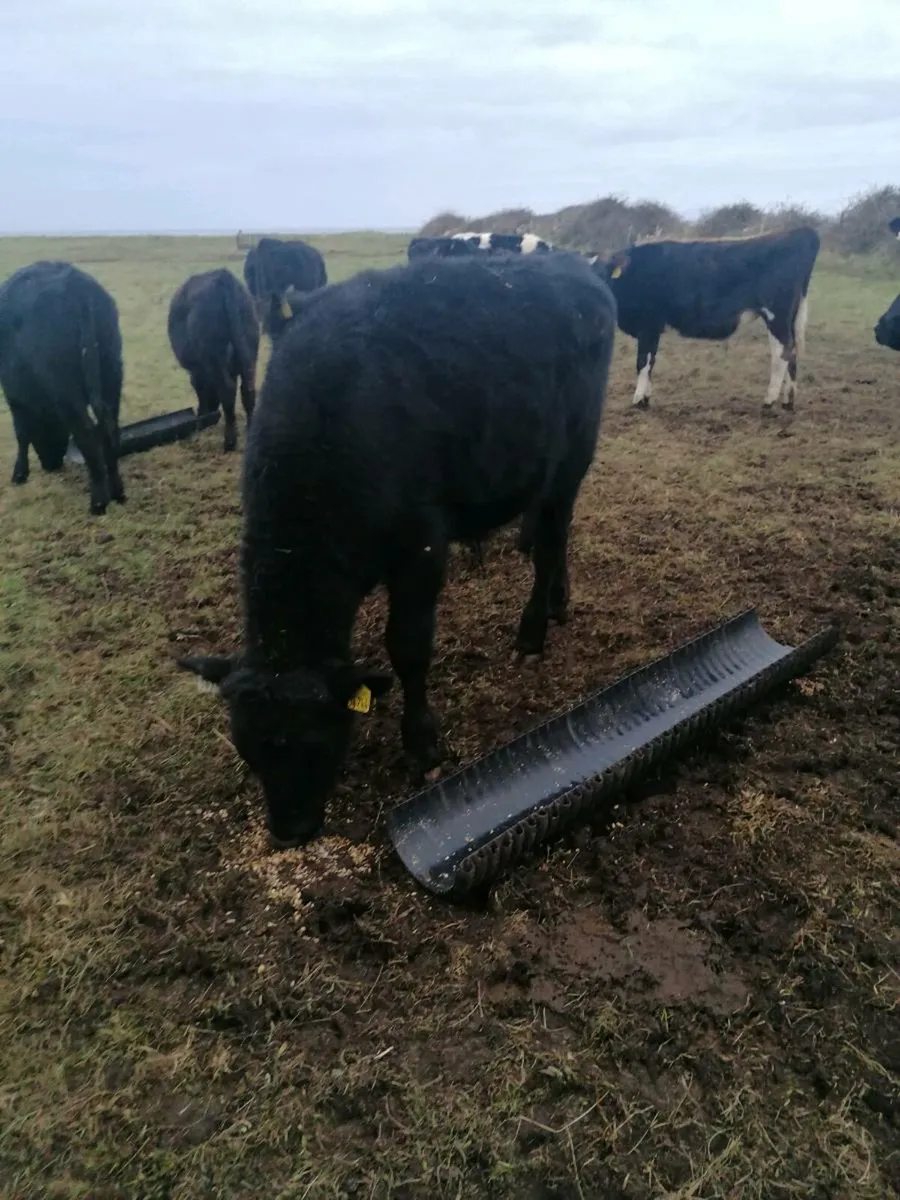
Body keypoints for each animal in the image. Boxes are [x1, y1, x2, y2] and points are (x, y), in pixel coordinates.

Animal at [0, 260, 126, 515]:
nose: (52, 465)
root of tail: (78, 288)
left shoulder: (14, 396)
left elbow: (21, 433)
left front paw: (19, 473)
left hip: (68, 394)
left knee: (88, 433)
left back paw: (98, 502)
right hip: (112, 376)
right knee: (110, 429)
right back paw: (117, 491)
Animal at [167, 268, 260, 453]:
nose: (205, 415)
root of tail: (223, 278)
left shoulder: (197, 370)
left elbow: (200, 387)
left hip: (215, 358)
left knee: (228, 391)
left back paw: (229, 442)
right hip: (250, 353)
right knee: (248, 390)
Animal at [592, 226, 821, 412]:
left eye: (603, 273)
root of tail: (800, 232)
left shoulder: (649, 326)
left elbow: (643, 363)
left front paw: (639, 400)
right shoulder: (652, 330)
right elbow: (651, 362)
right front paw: (645, 398)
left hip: (776, 315)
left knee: (782, 353)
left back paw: (769, 401)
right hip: (790, 318)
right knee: (793, 353)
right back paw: (788, 401)